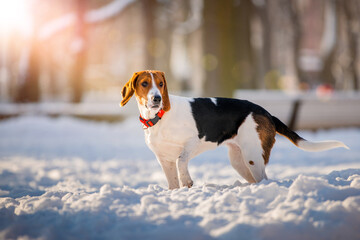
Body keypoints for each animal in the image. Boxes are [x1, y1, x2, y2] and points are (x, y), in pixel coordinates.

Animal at [120, 70, 348, 189]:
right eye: (144, 83)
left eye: (160, 84)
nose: (157, 99)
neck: (159, 118)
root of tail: (266, 113)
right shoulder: (163, 159)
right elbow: (172, 180)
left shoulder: (192, 141)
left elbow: (181, 161)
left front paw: (188, 181)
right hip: (240, 161)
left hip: (252, 157)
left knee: (264, 179)